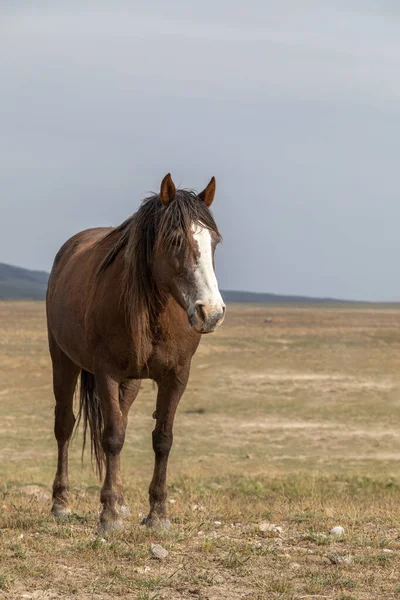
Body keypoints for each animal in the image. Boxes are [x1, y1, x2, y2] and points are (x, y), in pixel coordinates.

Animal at [46, 173, 225, 528]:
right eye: (176, 241)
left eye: (214, 242)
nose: (210, 312)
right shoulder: (107, 373)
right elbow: (112, 436)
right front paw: (110, 514)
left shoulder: (176, 376)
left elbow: (162, 439)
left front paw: (157, 513)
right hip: (63, 360)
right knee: (65, 425)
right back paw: (61, 502)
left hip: (131, 381)